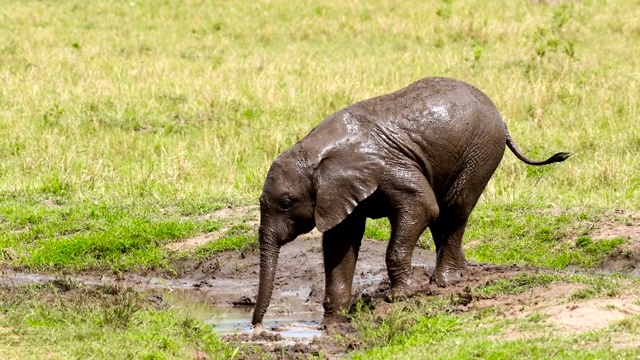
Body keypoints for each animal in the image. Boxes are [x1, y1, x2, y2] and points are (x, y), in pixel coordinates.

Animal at [250, 77, 568, 330]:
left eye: (286, 203)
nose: (256, 327)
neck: (316, 149)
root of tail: (501, 118)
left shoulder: (387, 167)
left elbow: (422, 207)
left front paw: (400, 297)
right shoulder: (337, 192)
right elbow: (340, 242)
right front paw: (332, 324)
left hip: (481, 150)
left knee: (454, 208)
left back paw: (445, 281)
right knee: (445, 216)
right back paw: (459, 274)